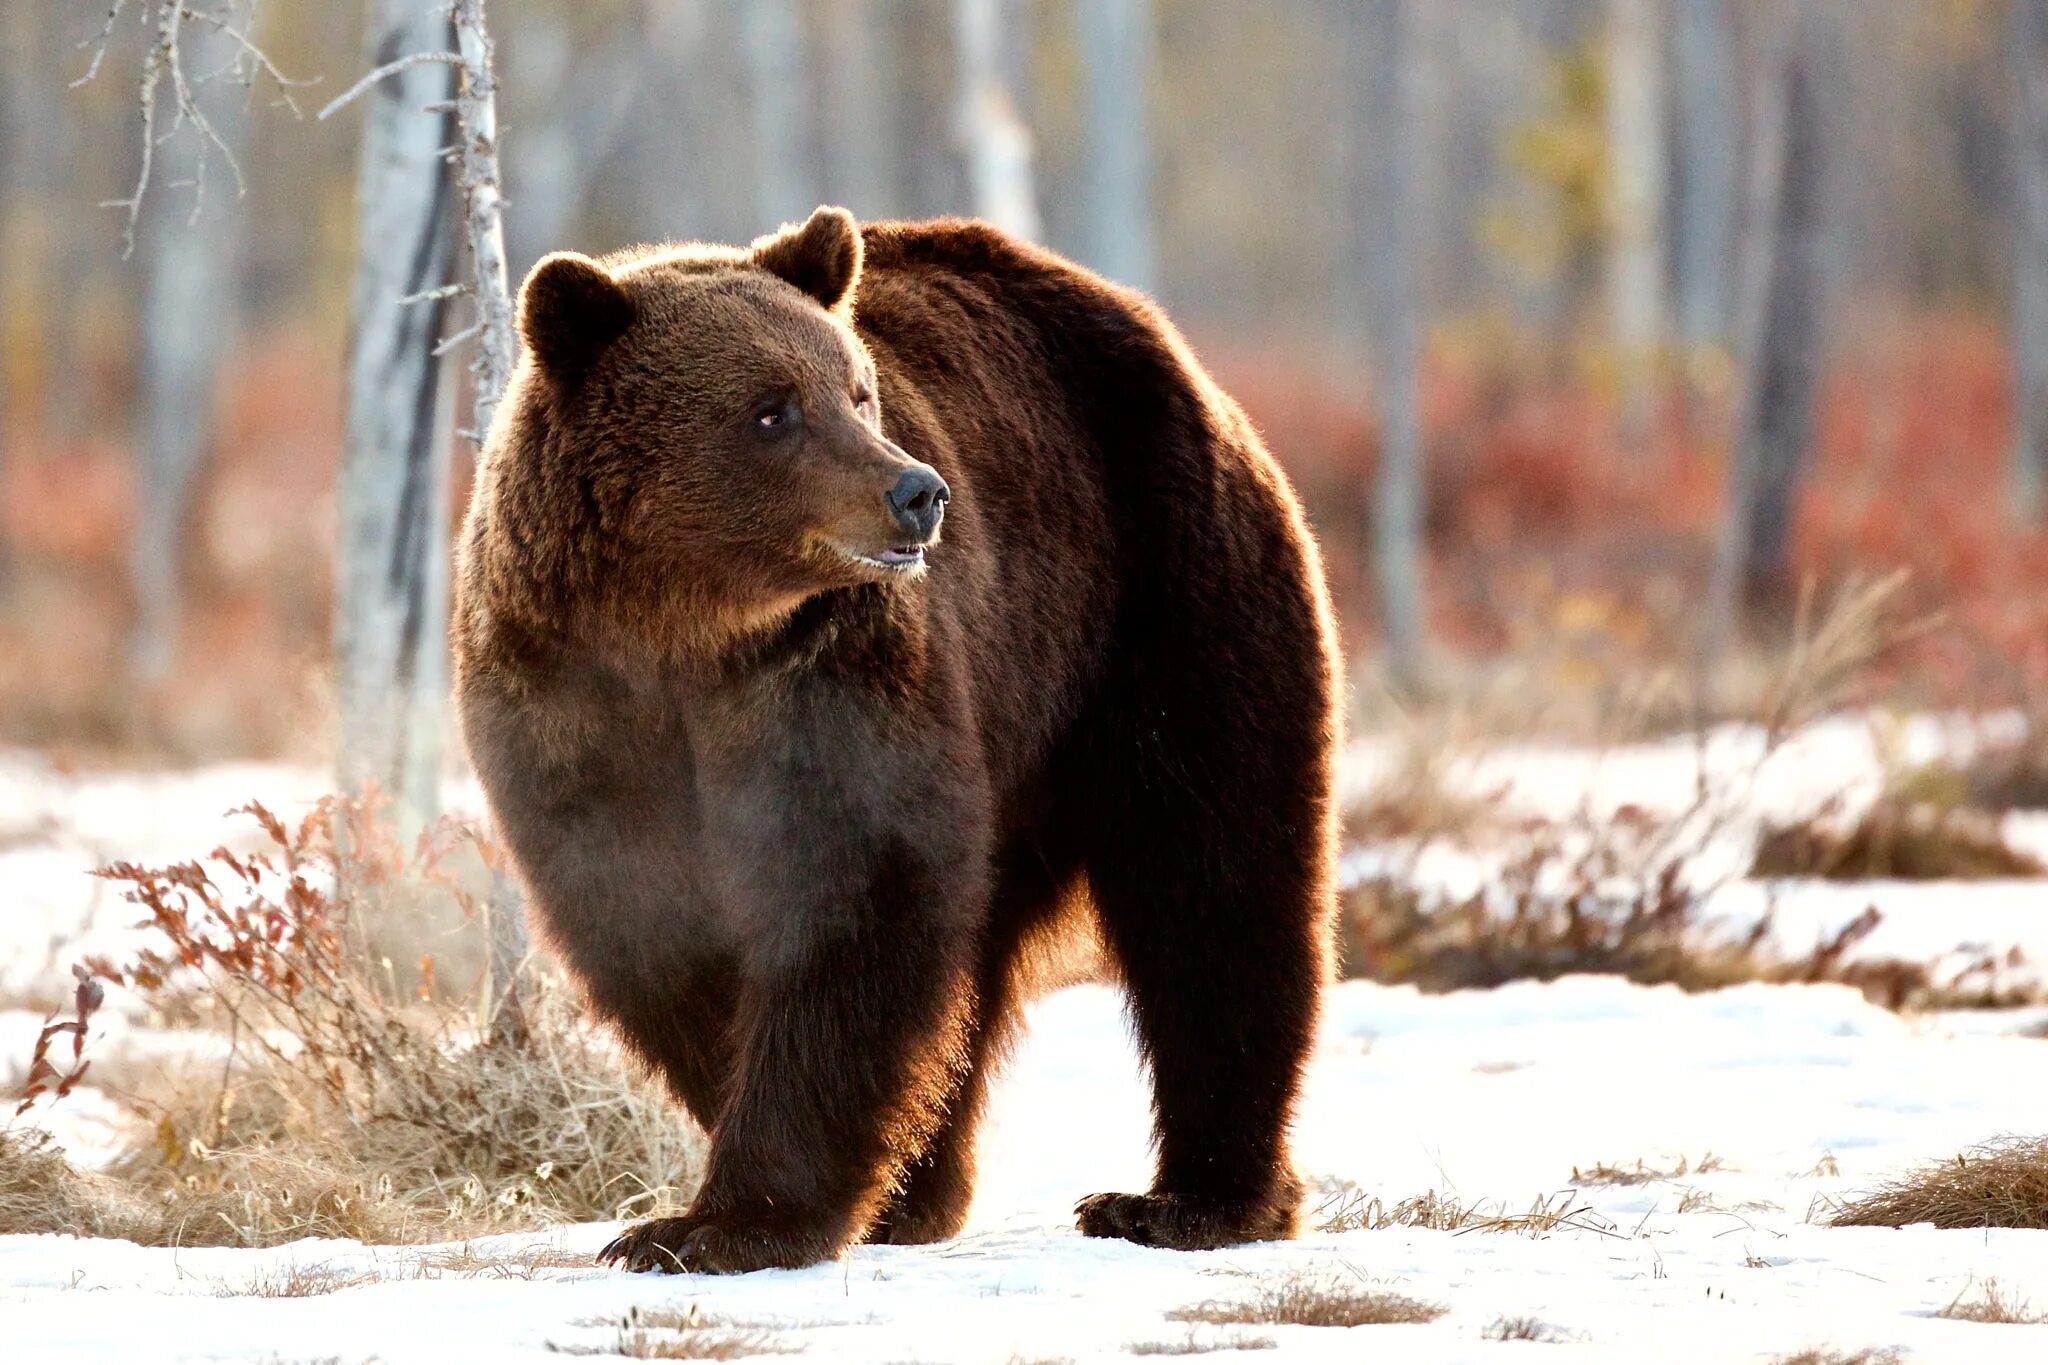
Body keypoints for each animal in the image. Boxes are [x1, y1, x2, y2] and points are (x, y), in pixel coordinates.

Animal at [450, 208, 1343, 1277]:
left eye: (857, 389)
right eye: (771, 410)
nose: (918, 491)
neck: (685, 640)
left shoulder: (833, 677)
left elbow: (855, 897)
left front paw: (729, 1219)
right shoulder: (571, 711)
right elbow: (657, 928)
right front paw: (784, 1192)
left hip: (1163, 602)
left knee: (1215, 878)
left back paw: (1187, 1199)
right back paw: (936, 1183)